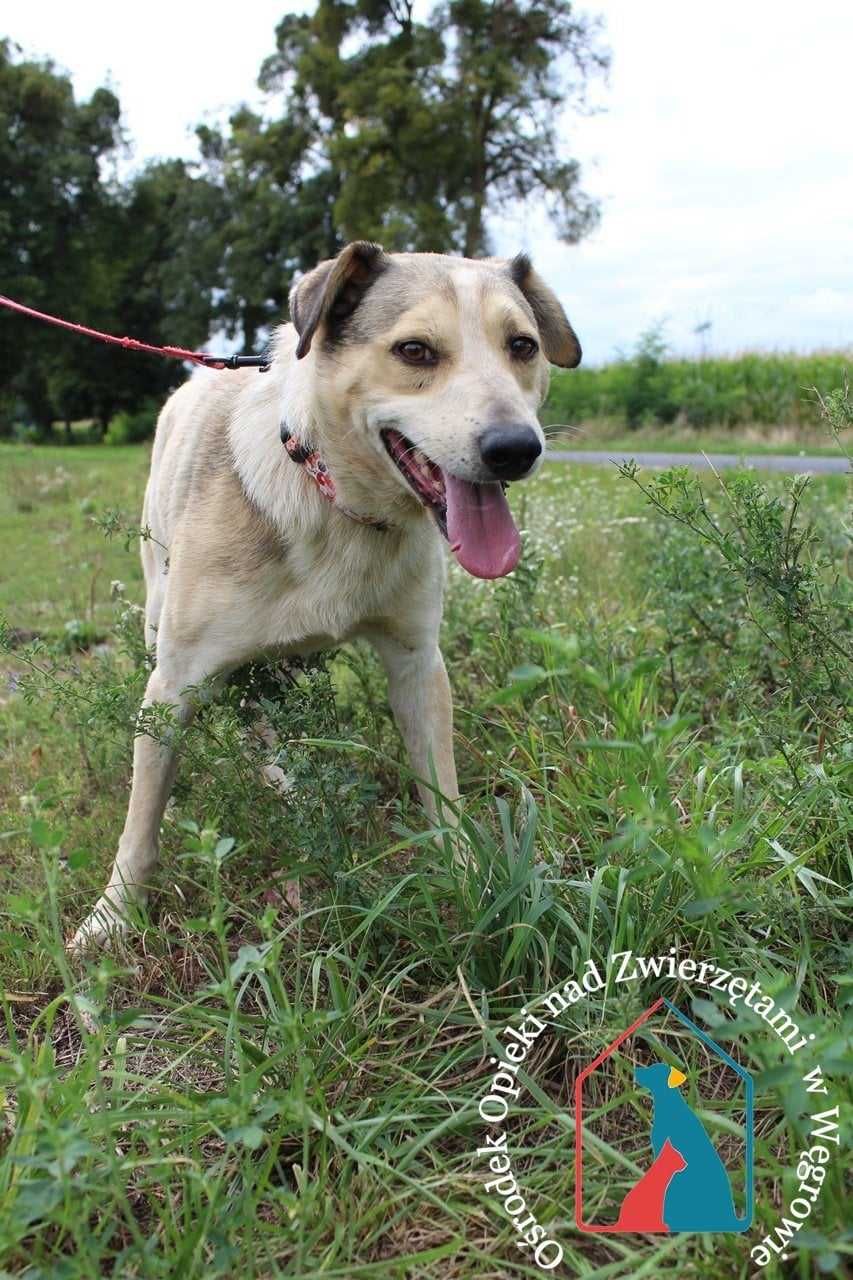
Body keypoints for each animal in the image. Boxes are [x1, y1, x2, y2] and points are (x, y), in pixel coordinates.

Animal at [69, 244, 581, 957]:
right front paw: (112, 917)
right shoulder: (174, 683)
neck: (335, 500)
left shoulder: (417, 664)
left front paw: (467, 877)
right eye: (416, 350)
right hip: (159, 617)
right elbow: (141, 823)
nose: (516, 449)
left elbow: (442, 790)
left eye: (523, 346)